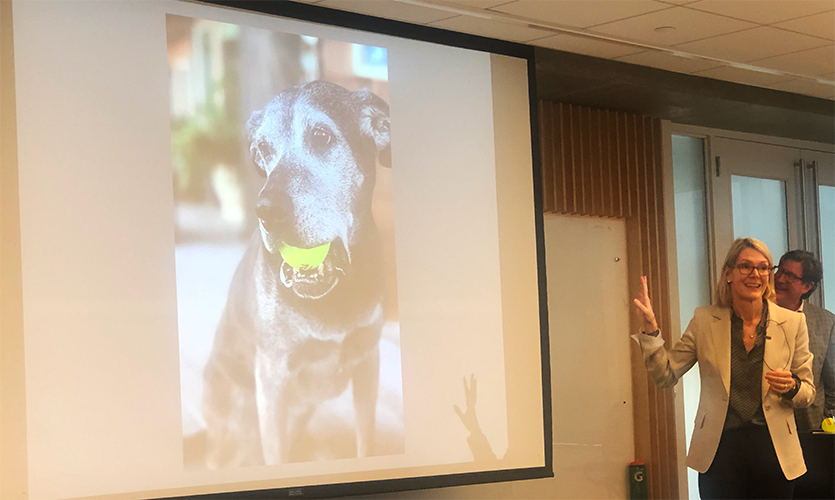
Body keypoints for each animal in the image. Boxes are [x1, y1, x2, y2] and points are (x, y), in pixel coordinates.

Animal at [204, 80, 394, 466]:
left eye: (321, 136)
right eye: (262, 148)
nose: (266, 211)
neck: (332, 294)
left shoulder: (368, 362)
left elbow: (365, 443)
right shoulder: (273, 380)